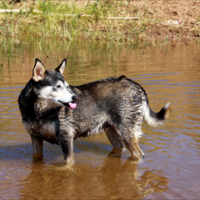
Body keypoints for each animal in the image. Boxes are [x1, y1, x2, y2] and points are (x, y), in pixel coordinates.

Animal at [18, 58, 170, 164]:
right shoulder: (35, 138)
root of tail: (135, 84)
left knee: (139, 154)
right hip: (112, 132)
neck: (39, 112)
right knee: (119, 148)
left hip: (127, 134)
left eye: (67, 86)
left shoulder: (66, 138)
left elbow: (67, 164)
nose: (75, 97)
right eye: (58, 86)